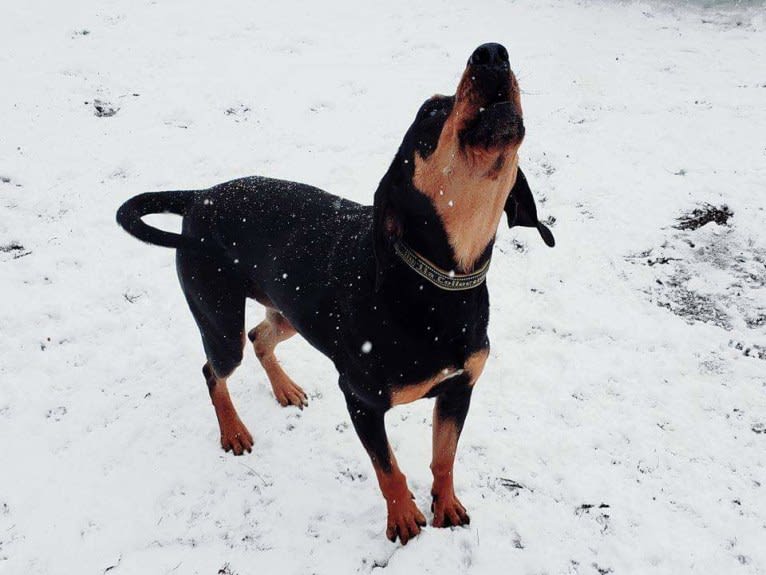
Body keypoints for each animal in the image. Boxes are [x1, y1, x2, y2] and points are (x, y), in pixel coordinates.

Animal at [117, 42, 556, 548]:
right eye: (430, 111)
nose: (492, 53)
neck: (439, 283)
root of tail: (197, 197)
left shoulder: (458, 390)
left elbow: (443, 458)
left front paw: (446, 507)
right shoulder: (361, 398)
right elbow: (388, 469)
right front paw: (403, 519)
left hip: (290, 310)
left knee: (260, 335)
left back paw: (284, 388)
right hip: (218, 318)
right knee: (214, 369)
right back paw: (233, 431)